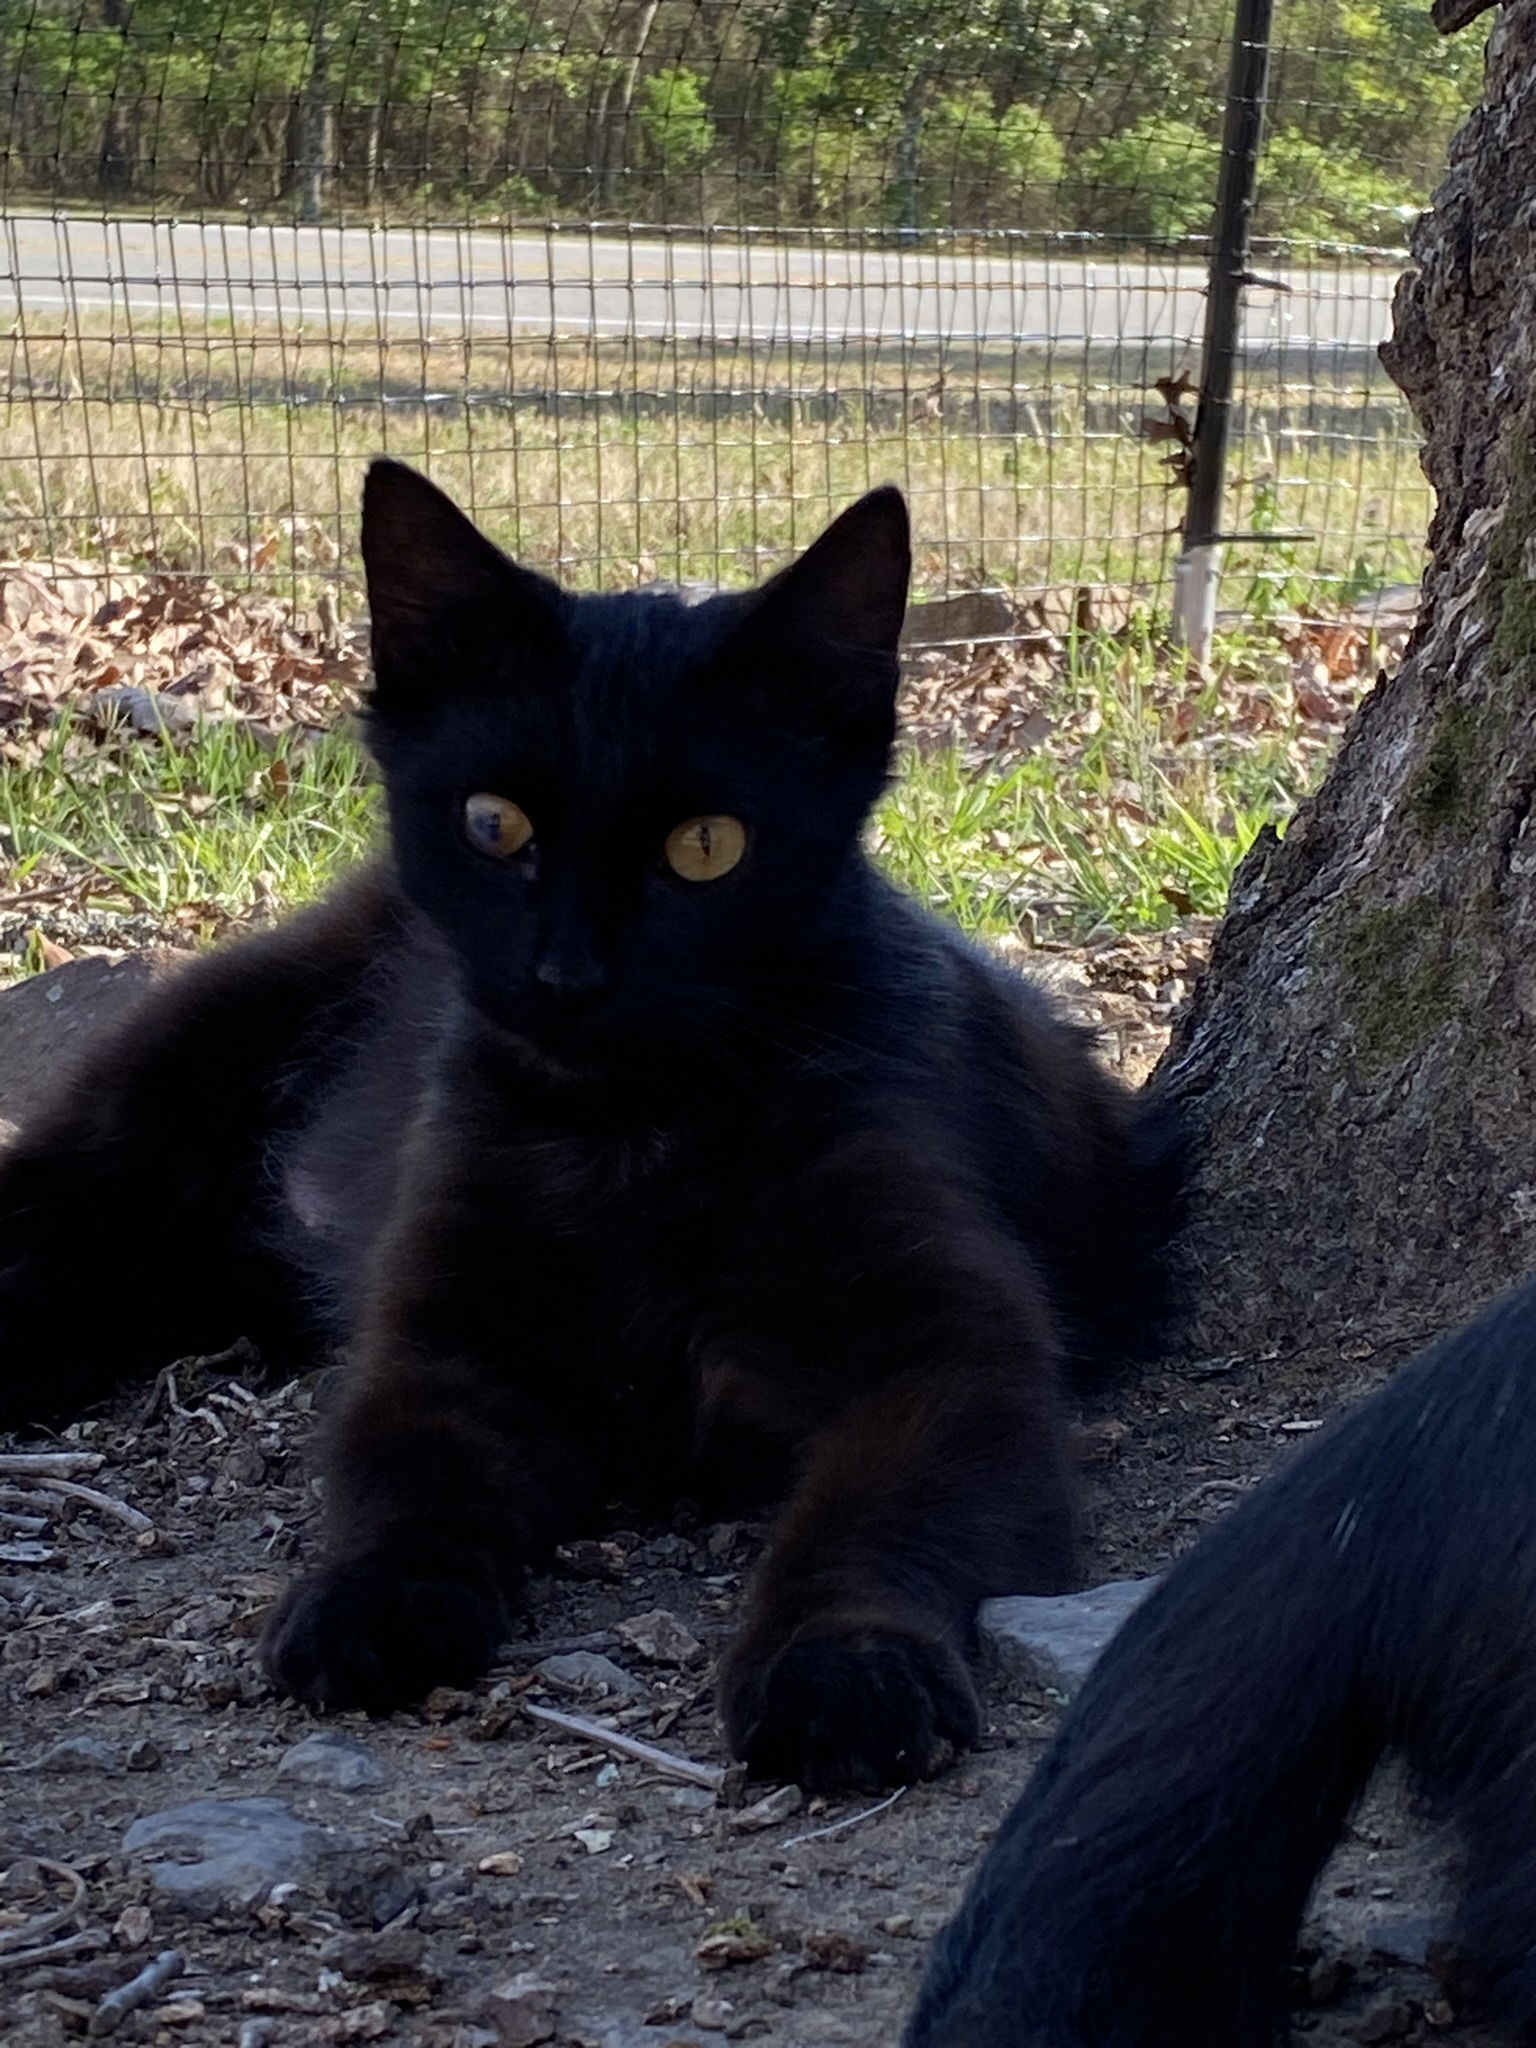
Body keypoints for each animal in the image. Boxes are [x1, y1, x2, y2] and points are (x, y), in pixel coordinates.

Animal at [0, 464, 1179, 1794]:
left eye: (707, 846)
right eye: (494, 824)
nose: (569, 974)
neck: (635, 1136)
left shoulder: (949, 1354)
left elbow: (881, 1513)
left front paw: (845, 1668)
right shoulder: (448, 1330)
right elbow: (408, 1469)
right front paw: (371, 1600)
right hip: (181, 1075)